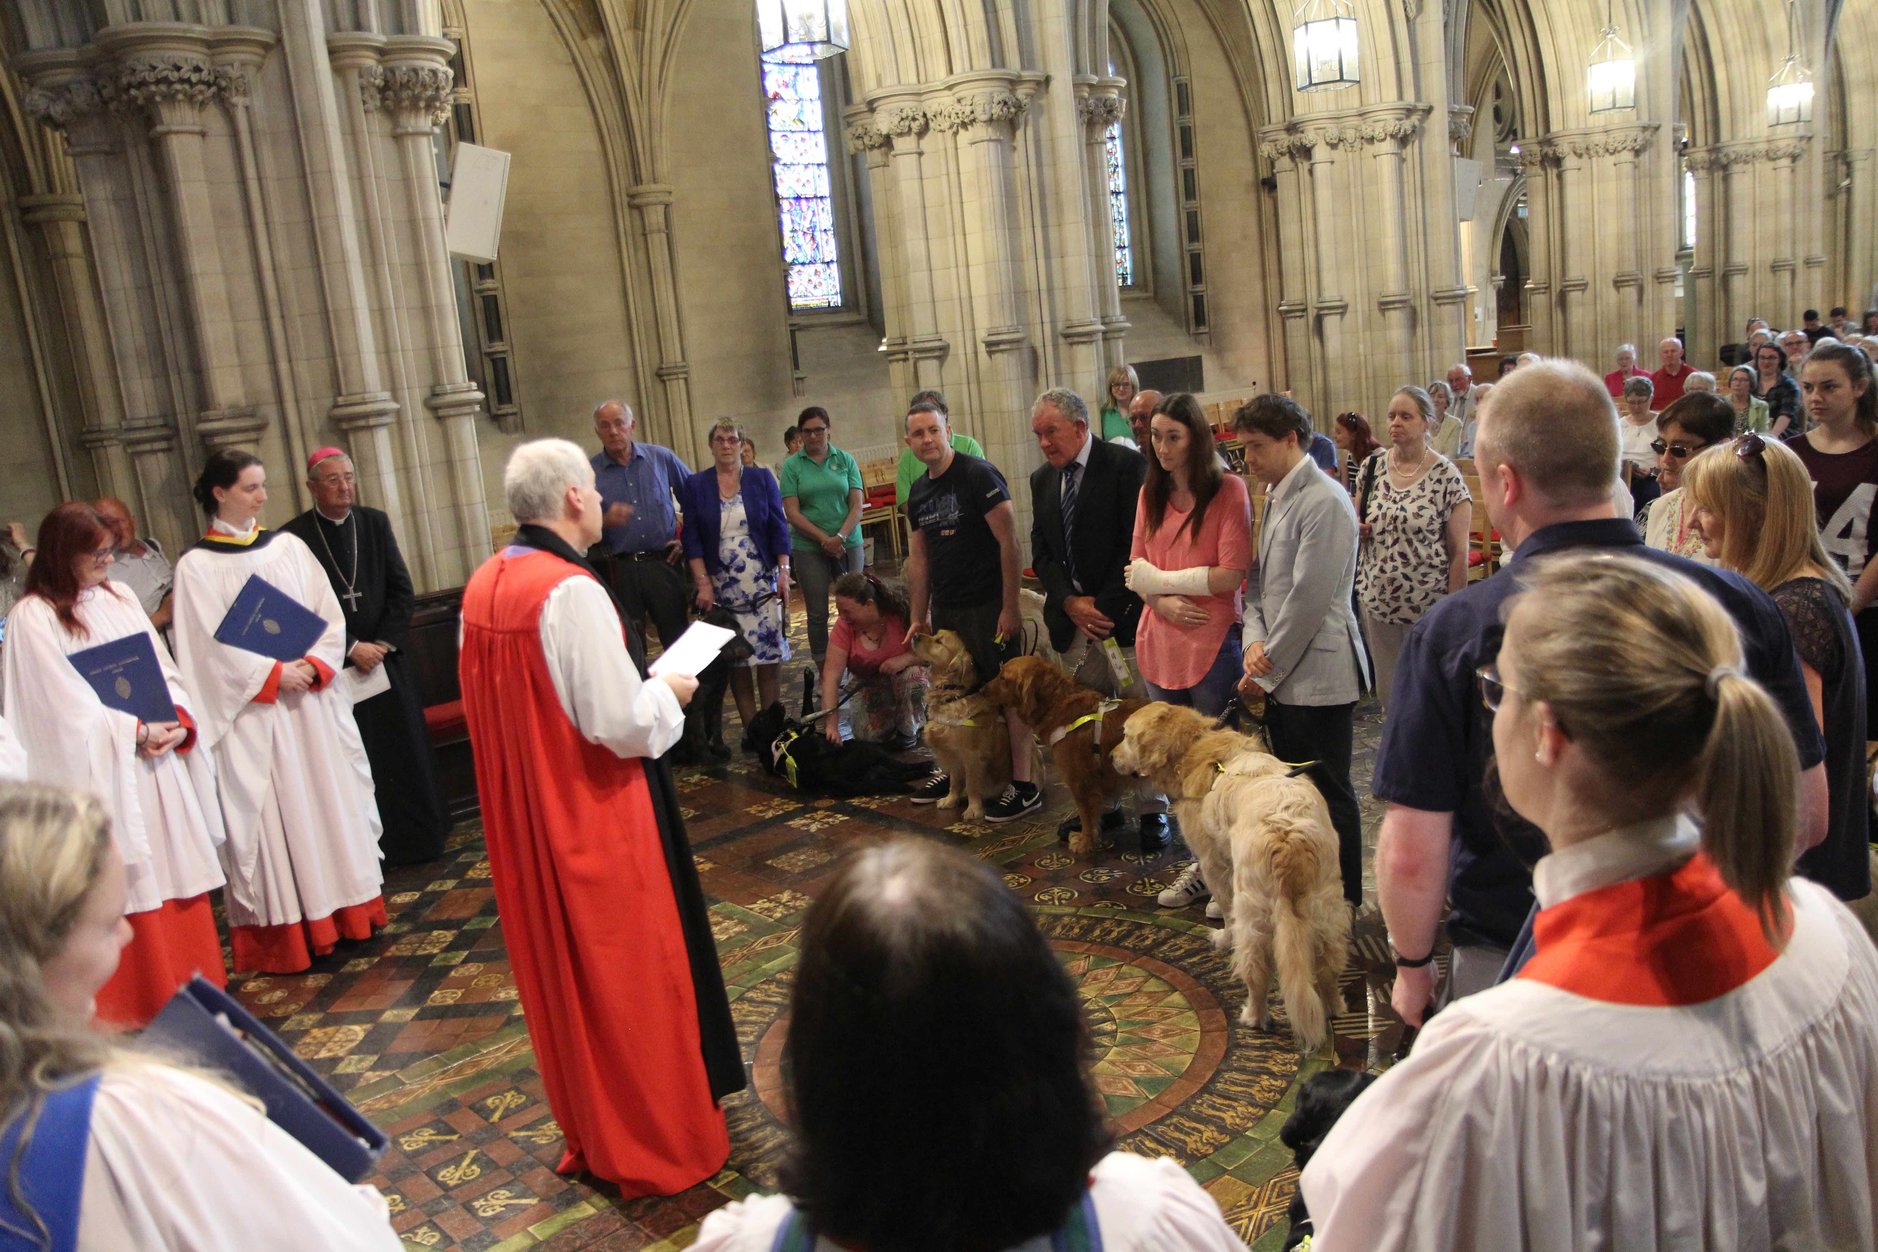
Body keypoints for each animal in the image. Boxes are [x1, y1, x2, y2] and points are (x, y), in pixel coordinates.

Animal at [668, 604, 754, 769]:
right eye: (735, 635)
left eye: (742, 633)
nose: (753, 650)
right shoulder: (696, 704)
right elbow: (700, 734)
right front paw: (708, 758)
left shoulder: (717, 697)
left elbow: (717, 727)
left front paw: (720, 748)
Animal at [739, 702, 931, 799]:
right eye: (762, 717)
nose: (776, 702)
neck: (777, 740)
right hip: (867, 752)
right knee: (902, 768)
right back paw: (926, 765)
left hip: (873, 769)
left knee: (899, 774)